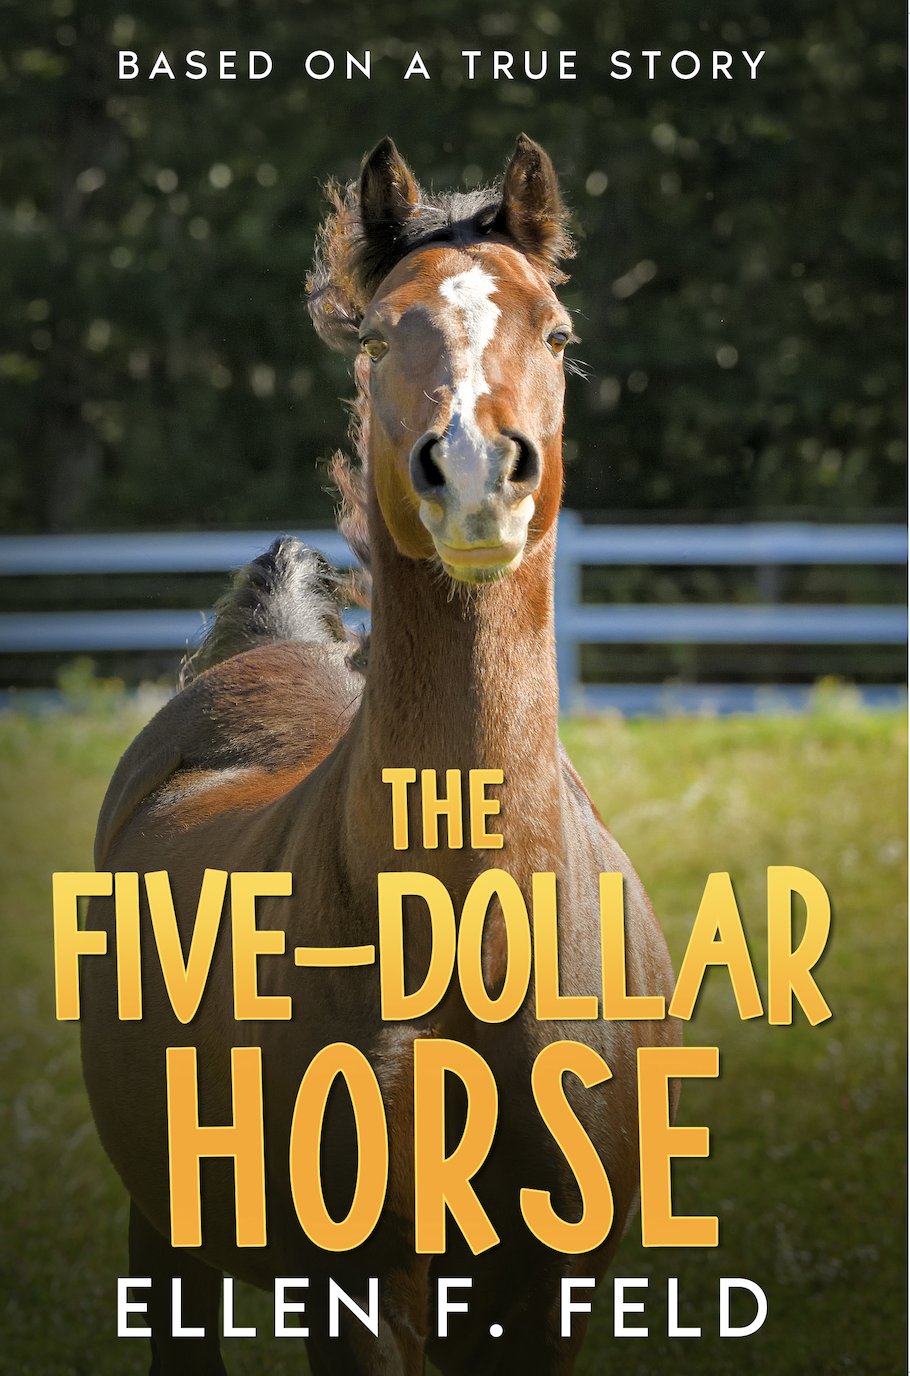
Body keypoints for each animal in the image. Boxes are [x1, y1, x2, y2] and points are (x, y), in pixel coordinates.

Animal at [82, 135, 681, 1376]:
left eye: (556, 331)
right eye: (374, 336)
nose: (475, 473)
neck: (475, 935)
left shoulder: (550, 1289)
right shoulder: (355, 1284)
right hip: (166, 1235)